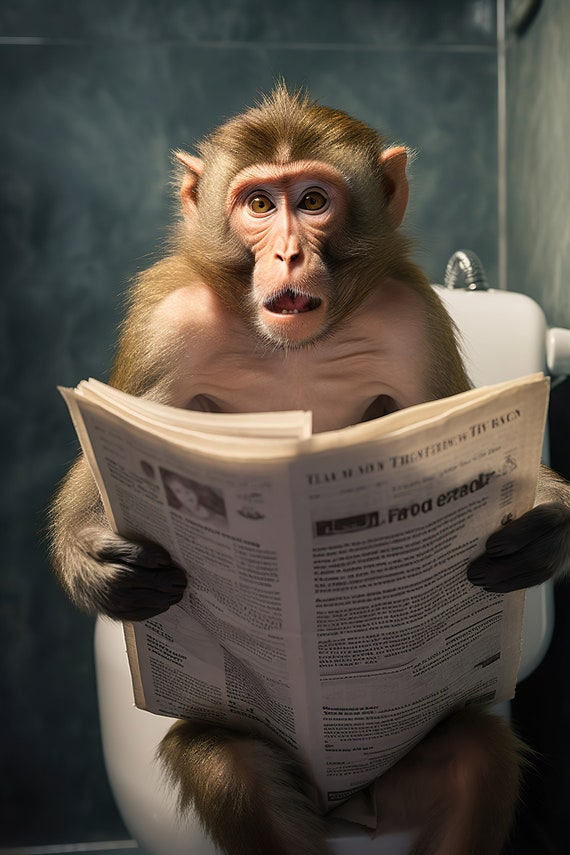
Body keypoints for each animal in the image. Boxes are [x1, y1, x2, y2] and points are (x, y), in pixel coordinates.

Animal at [49, 84, 570, 854]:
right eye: (261, 204)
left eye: (315, 199)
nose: (290, 254)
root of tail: (344, 807)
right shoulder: (164, 324)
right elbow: (98, 471)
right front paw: (98, 564)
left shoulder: (413, 318)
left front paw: (543, 529)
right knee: (228, 757)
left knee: (471, 753)